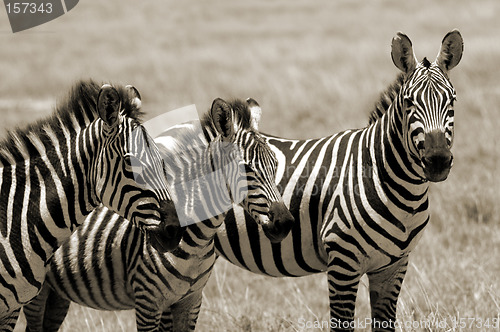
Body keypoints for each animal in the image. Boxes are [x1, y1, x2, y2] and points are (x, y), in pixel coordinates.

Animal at [23, 97, 294, 330]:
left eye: (275, 165)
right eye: (246, 169)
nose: (285, 223)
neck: (198, 241)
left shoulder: (190, 302)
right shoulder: (148, 302)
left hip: (57, 293)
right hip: (36, 292)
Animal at [213, 29, 462, 330]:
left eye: (452, 100)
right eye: (408, 103)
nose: (438, 160)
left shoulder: (394, 266)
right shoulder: (343, 262)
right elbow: (341, 322)